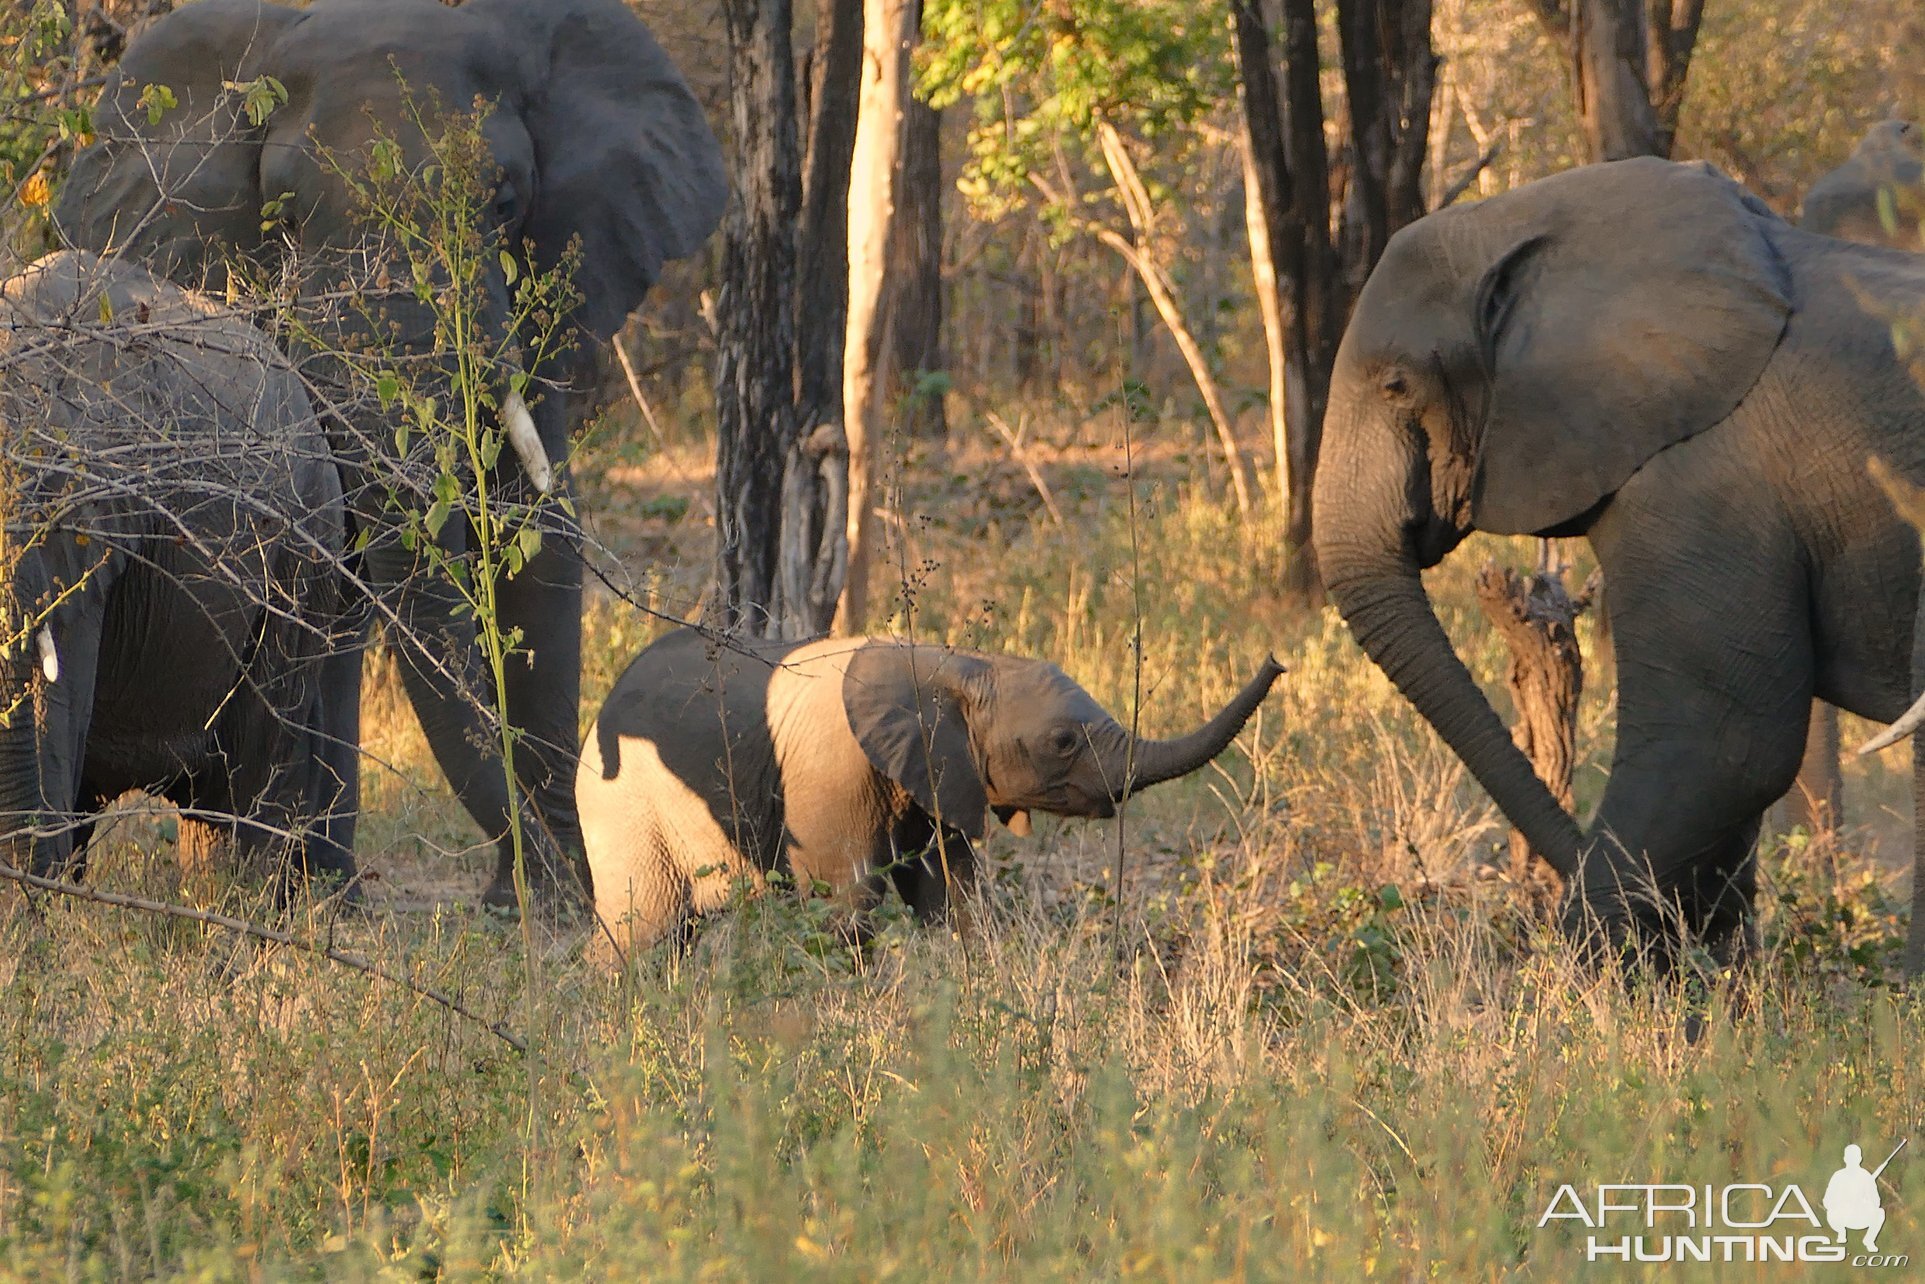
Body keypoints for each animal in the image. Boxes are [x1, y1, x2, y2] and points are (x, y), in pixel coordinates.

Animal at [56, 0, 727, 912]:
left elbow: (535, 536)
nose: (558, 886)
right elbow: (336, 557)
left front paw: (542, 905)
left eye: (503, 203)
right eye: (282, 223)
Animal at [577, 627, 1285, 950]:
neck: (957, 665)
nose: (1280, 658)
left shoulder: (935, 774)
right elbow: (846, 904)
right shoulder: (834, 775)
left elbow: (951, 894)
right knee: (642, 932)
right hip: (623, 806)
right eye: (1063, 741)